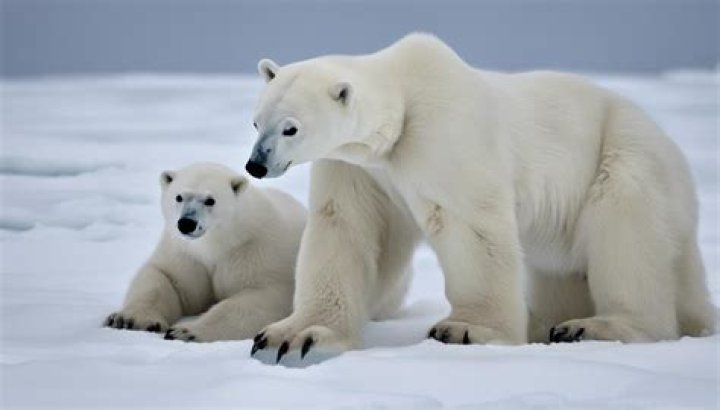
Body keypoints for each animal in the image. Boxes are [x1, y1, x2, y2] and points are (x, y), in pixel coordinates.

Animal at [104, 162, 306, 342]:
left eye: (210, 200)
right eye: (179, 197)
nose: (186, 223)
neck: (219, 243)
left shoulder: (256, 251)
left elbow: (262, 298)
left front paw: (185, 331)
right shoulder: (185, 253)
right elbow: (163, 278)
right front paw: (130, 319)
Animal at [244, 33, 716, 361]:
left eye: (291, 128)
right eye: (256, 121)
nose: (255, 166)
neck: (404, 96)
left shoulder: (446, 133)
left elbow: (468, 224)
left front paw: (467, 330)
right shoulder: (360, 169)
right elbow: (346, 227)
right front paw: (290, 336)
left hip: (625, 156)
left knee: (626, 236)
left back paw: (591, 326)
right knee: (562, 270)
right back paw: (547, 323)